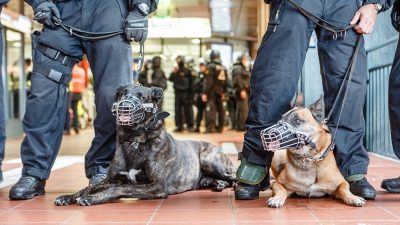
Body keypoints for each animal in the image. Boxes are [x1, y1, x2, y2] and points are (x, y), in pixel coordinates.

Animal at [52, 84, 234, 206]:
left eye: (142, 97)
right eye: (123, 93)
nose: (125, 105)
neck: (134, 140)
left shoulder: (157, 186)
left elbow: (119, 189)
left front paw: (92, 198)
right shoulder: (112, 179)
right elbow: (88, 187)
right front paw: (68, 196)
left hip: (209, 160)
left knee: (233, 178)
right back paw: (217, 184)